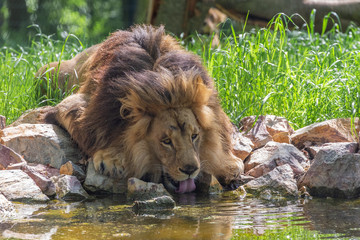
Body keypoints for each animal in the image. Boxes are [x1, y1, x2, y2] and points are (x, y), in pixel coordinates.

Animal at [37, 24, 245, 193]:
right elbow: (91, 130)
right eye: (166, 141)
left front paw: (228, 166)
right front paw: (111, 158)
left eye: (194, 136)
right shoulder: (77, 105)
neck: (161, 82)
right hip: (48, 71)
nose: (190, 170)